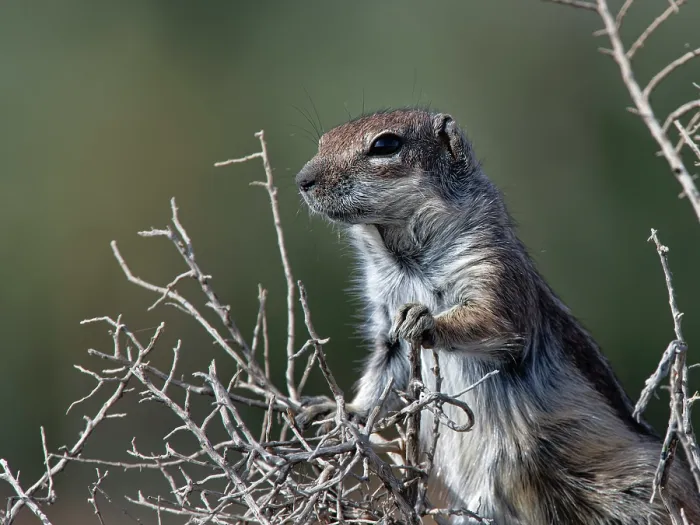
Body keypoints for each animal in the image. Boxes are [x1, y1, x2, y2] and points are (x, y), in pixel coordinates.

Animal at [295, 108, 700, 524]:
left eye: (385, 145)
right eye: (324, 140)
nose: (302, 181)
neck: (402, 258)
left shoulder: (493, 273)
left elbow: (493, 322)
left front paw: (427, 321)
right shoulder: (385, 324)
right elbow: (382, 377)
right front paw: (344, 411)